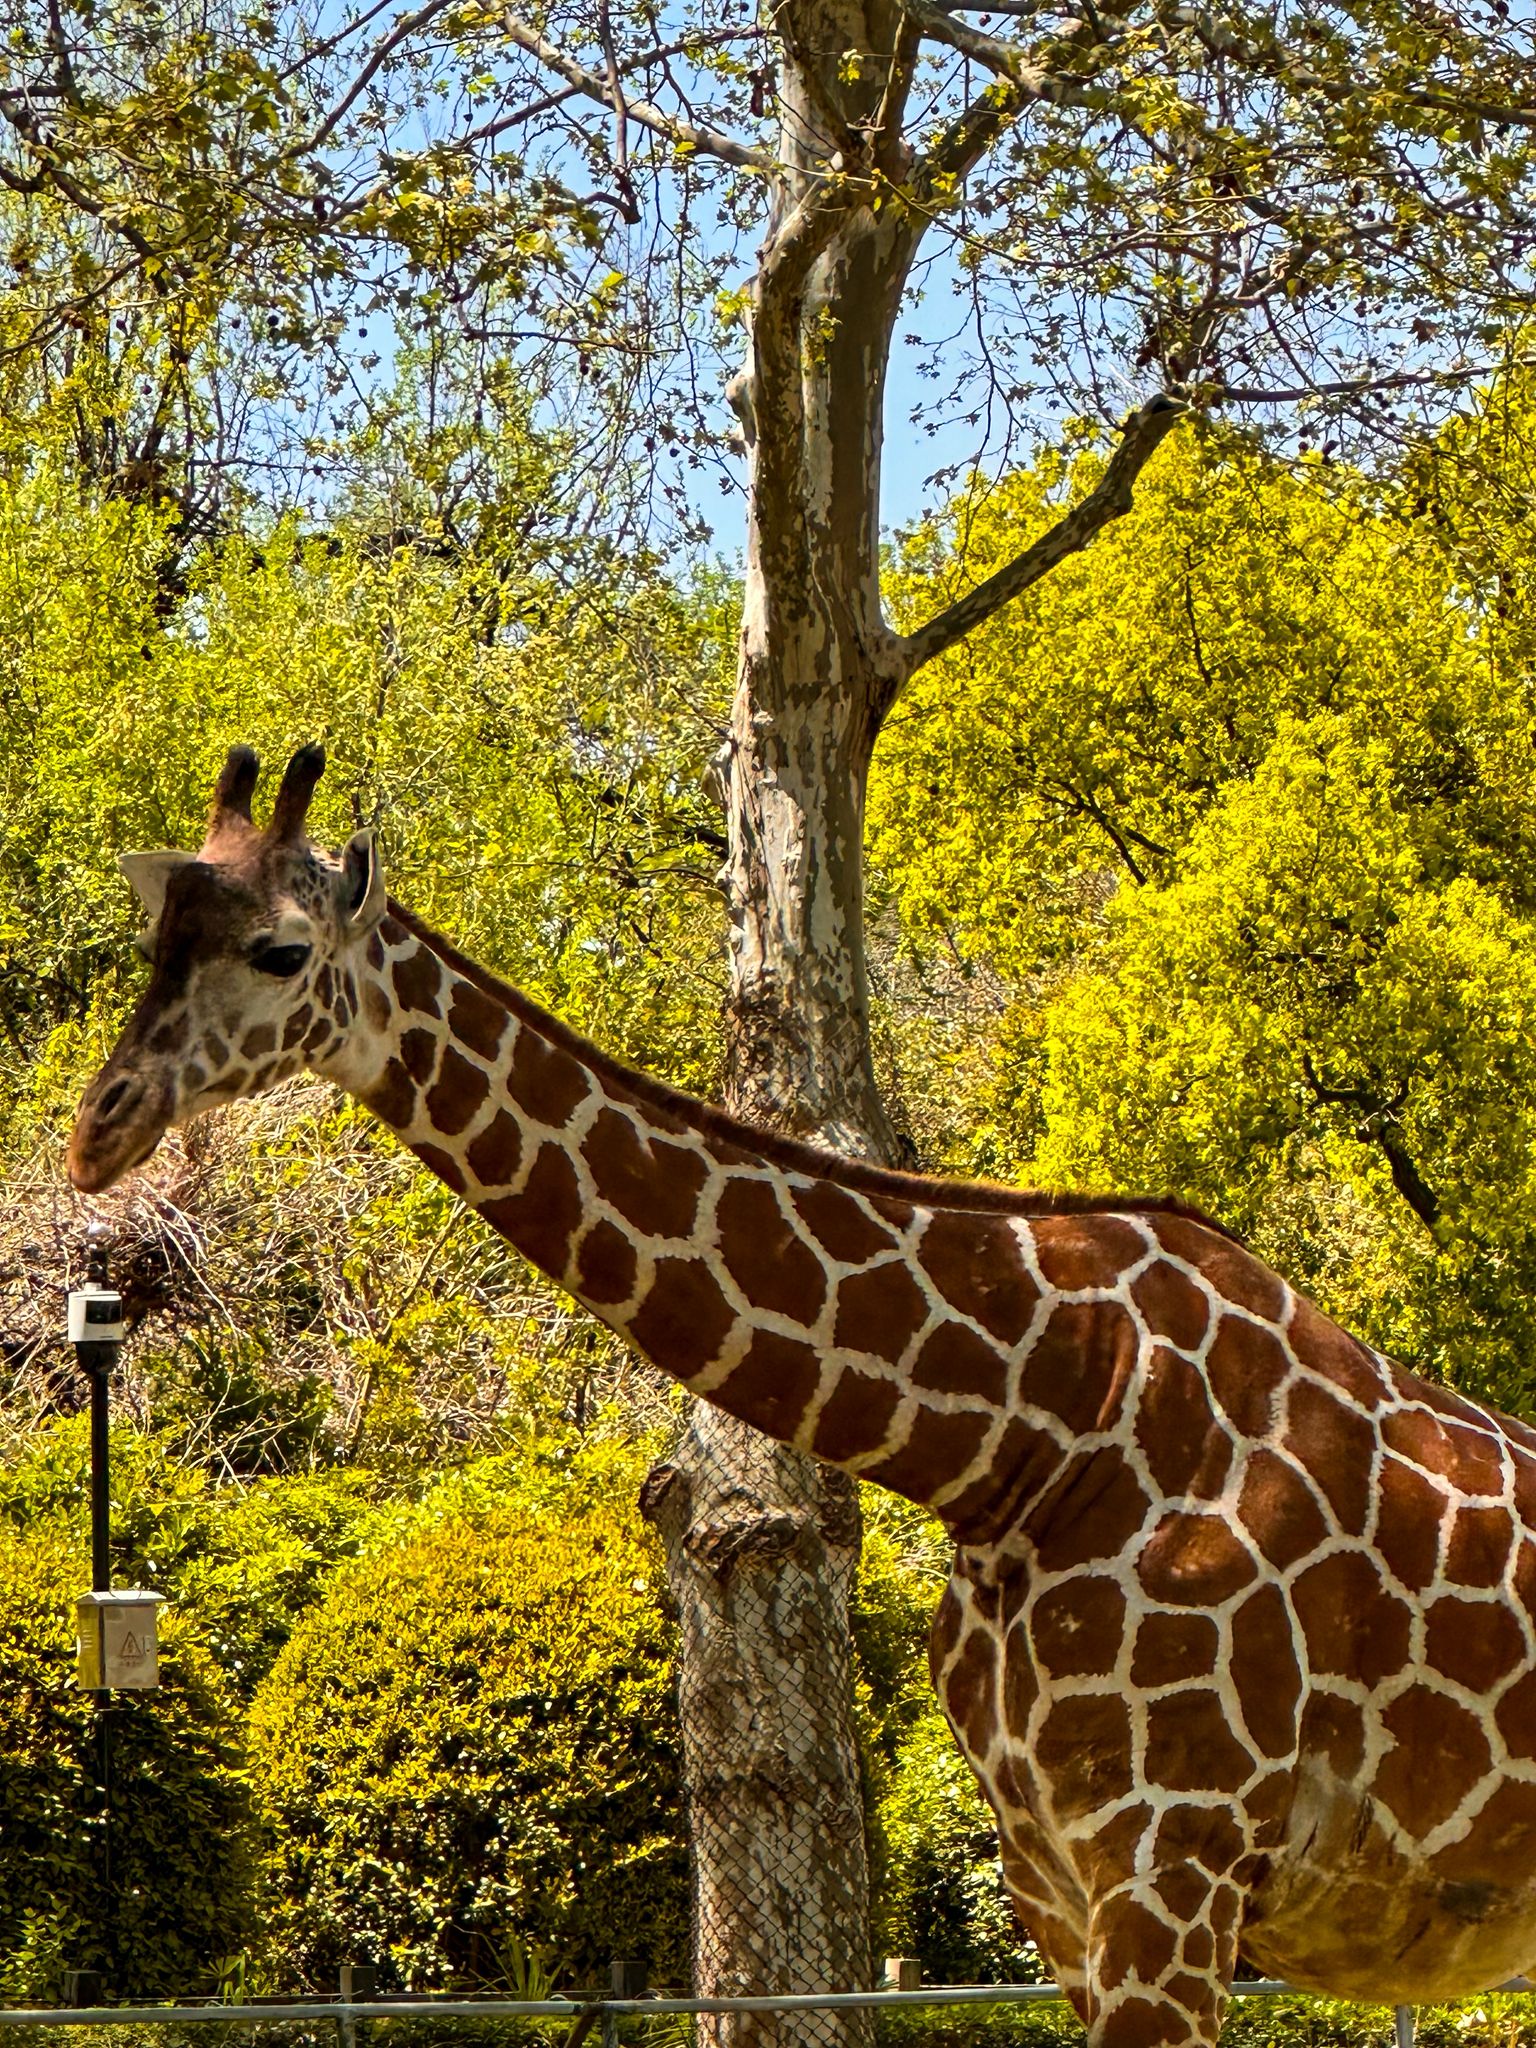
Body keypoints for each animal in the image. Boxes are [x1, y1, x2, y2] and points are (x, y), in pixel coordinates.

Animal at [70, 743, 1536, 2046]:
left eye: (278, 950)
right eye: (159, 934)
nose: (101, 1123)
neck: (1019, 1422)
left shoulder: (1172, 1865)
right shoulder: (1057, 1883)